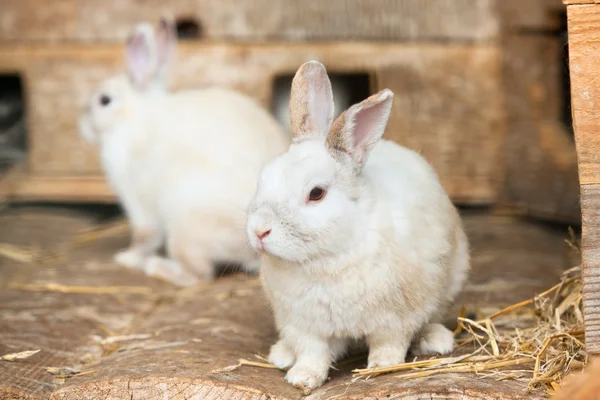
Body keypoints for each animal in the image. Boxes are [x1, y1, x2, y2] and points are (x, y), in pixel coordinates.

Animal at [79, 18, 290, 286]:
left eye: (104, 100)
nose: (82, 124)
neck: (133, 116)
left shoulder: (138, 202)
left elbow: (144, 236)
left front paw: (127, 258)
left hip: (184, 228)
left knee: (199, 275)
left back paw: (157, 267)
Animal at [246, 61, 472, 390]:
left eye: (316, 193)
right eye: (262, 178)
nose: (260, 231)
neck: (326, 258)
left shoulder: (395, 318)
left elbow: (389, 342)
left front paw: (383, 365)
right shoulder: (303, 324)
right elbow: (312, 352)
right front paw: (303, 378)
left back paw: (436, 341)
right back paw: (281, 354)